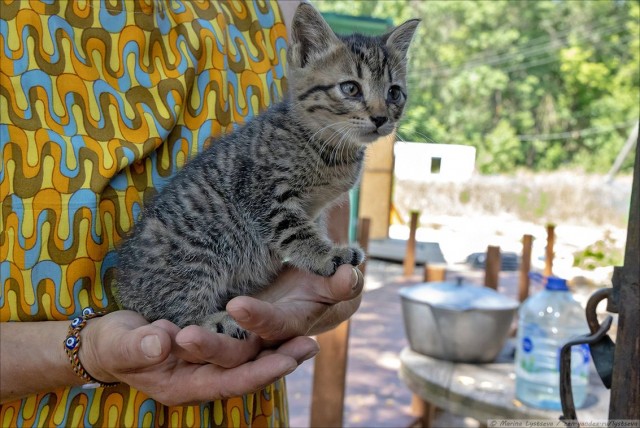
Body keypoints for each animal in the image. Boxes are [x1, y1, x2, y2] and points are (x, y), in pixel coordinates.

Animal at [116, 3, 420, 338]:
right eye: (351, 88)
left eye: (394, 93)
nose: (381, 118)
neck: (327, 147)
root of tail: (125, 287)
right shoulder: (260, 193)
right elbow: (294, 230)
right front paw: (325, 254)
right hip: (196, 255)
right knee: (176, 311)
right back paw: (214, 320)